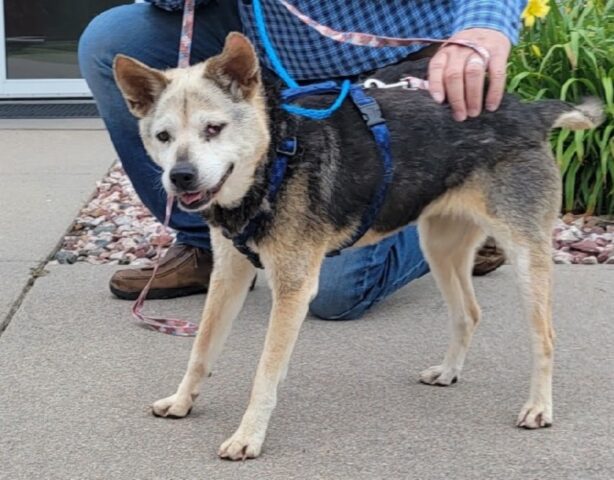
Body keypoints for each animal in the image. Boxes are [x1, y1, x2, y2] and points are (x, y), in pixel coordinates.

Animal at [114, 31, 608, 460]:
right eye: (163, 137)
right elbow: (201, 349)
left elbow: (264, 373)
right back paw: (449, 371)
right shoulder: (229, 274)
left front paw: (248, 434)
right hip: (440, 245)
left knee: (545, 335)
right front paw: (182, 399)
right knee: (469, 312)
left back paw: (539, 407)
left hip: (525, 254)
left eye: (213, 129)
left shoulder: (294, 287)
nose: (180, 177)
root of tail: (527, 110)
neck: (275, 160)